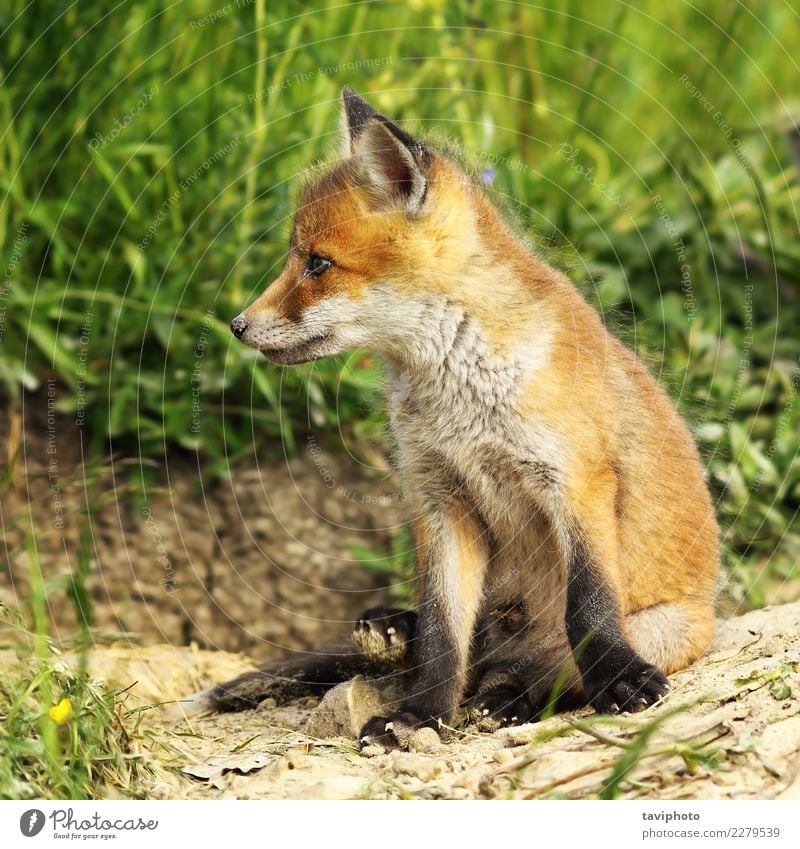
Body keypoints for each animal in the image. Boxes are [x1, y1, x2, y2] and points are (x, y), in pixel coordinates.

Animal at [212, 88, 720, 748]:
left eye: (318, 264)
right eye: (297, 259)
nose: (237, 326)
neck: (460, 401)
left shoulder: (575, 480)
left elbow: (588, 606)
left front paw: (619, 679)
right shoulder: (440, 497)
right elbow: (440, 633)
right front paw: (420, 713)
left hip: (666, 627)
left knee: (544, 669)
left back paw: (511, 699)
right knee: (467, 652)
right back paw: (399, 638)